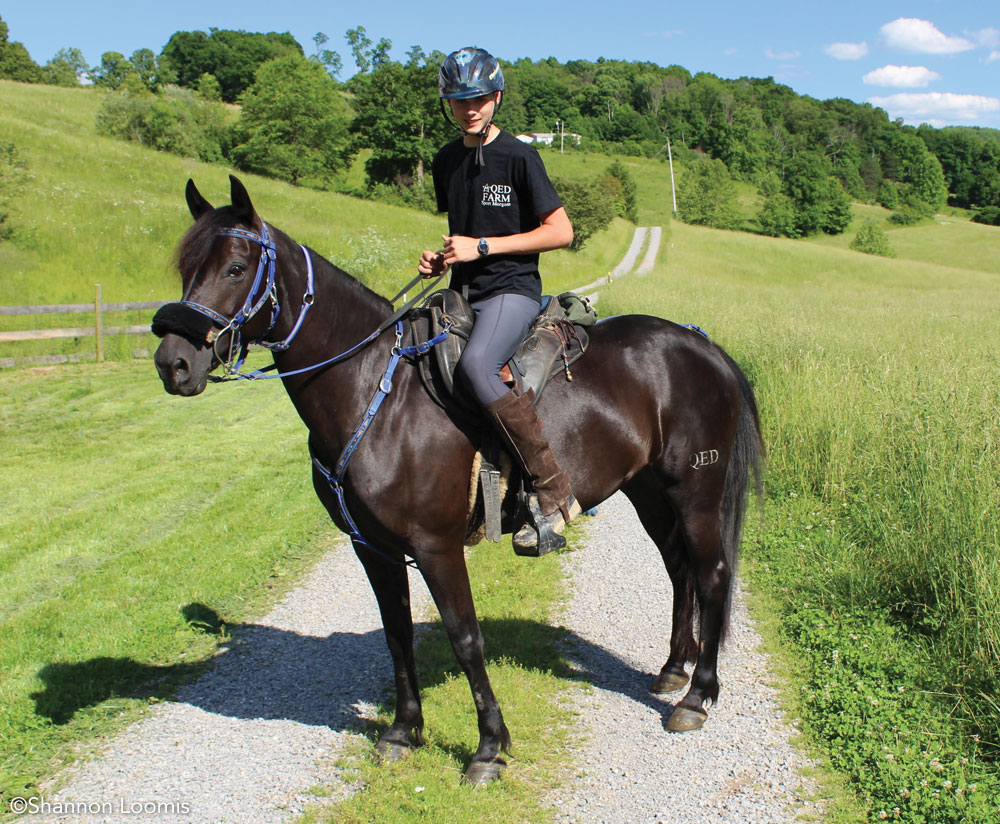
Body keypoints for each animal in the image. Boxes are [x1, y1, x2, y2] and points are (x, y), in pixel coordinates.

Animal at [154, 175, 764, 784]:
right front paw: (403, 731)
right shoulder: (371, 547)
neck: (377, 392)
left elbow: (465, 637)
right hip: (649, 492)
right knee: (679, 570)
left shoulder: (436, 546)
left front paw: (489, 746)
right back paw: (673, 669)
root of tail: (702, 344)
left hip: (695, 492)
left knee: (711, 574)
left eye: (236, 268)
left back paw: (695, 697)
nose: (172, 362)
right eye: (185, 267)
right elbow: (398, 635)